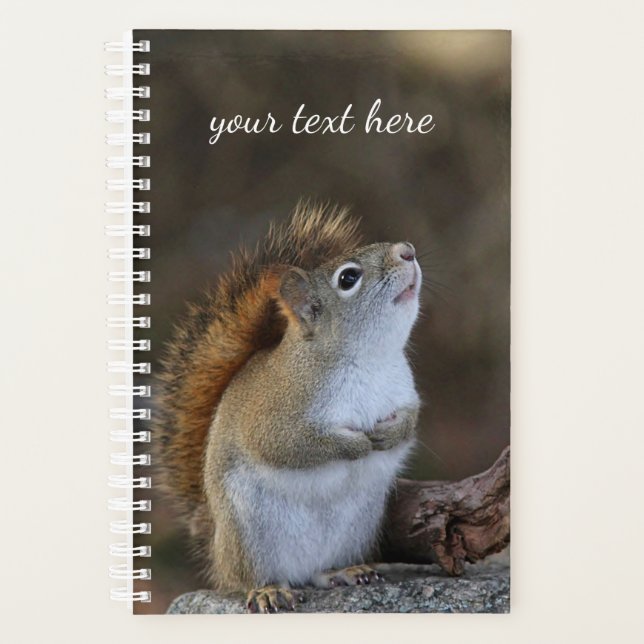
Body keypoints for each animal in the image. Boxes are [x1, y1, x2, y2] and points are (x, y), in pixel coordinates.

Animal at [155, 202, 422, 613]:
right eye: (348, 278)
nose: (407, 250)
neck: (370, 358)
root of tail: (216, 547)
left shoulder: (406, 395)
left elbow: (410, 421)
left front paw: (389, 435)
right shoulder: (274, 414)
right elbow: (289, 446)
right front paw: (354, 445)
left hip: (357, 527)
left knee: (318, 573)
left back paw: (344, 571)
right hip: (250, 535)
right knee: (249, 579)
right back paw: (267, 590)